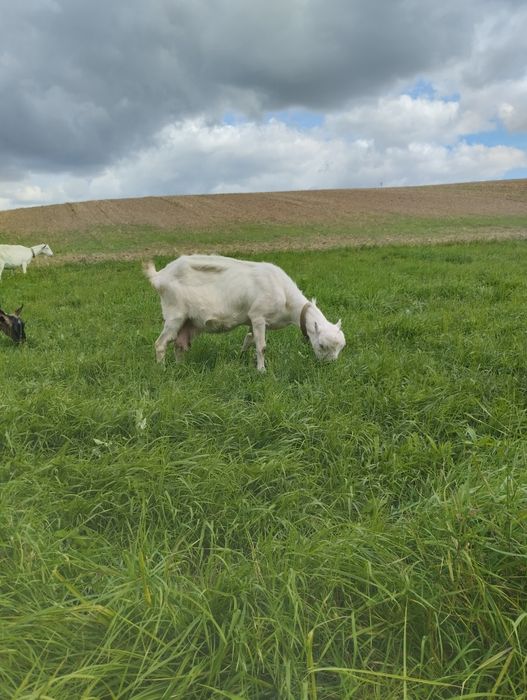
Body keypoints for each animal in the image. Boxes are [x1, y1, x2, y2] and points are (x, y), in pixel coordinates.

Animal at [144, 254, 345, 372]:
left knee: (180, 344)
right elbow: (261, 346)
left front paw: (241, 358)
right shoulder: (258, 316)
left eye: (341, 347)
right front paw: (262, 371)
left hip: (188, 321)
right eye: (321, 345)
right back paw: (162, 370)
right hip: (174, 314)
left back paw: (180, 367)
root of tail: (159, 276)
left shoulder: (254, 321)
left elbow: (248, 340)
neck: (286, 297)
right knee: (161, 343)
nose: (329, 366)